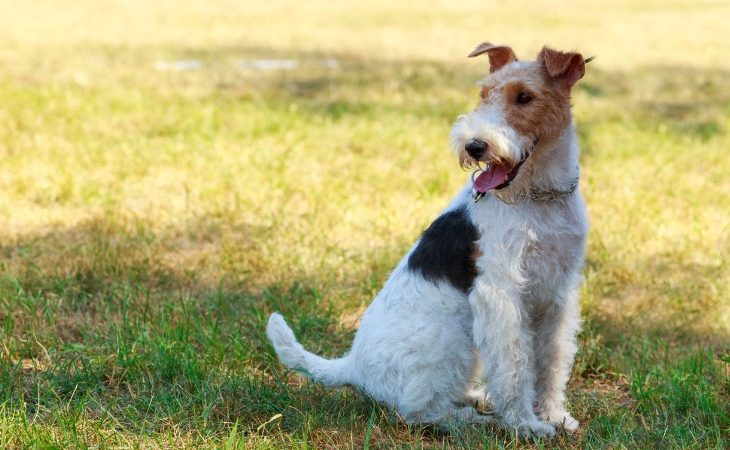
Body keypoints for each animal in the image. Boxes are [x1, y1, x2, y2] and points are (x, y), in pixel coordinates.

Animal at [264, 43, 588, 440]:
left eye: (525, 97)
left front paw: (555, 416)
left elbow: (552, 360)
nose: (475, 146)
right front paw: (525, 425)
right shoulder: (500, 293)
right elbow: (514, 366)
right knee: (419, 411)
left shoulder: (558, 291)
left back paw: (479, 398)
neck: (540, 197)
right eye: (484, 94)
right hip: (451, 339)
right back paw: (473, 420)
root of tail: (351, 366)